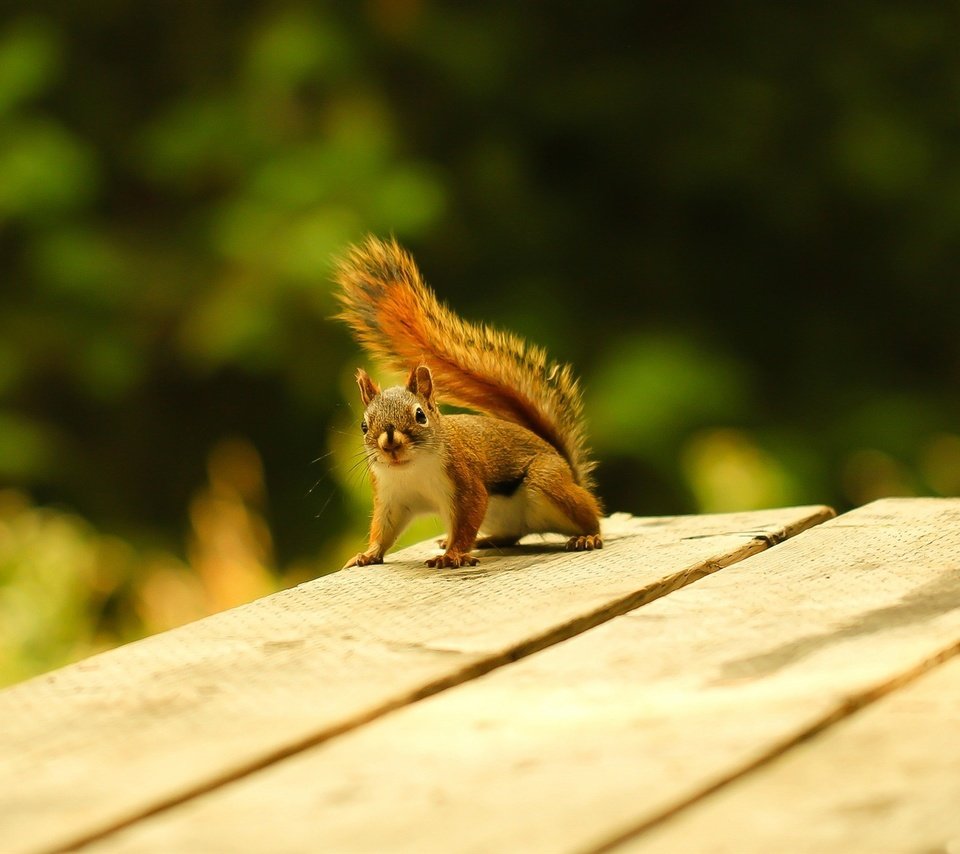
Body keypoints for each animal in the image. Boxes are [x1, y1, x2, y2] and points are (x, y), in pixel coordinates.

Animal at [332, 236, 600, 568]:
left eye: (420, 415)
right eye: (364, 425)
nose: (389, 443)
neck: (411, 469)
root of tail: (569, 471)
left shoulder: (465, 482)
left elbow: (467, 517)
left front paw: (453, 554)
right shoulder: (391, 498)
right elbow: (383, 530)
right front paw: (367, 555)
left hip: (549, 482)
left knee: (592, 515)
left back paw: (588, 536)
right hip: (503, 516)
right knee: (513, 534)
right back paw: (486, 541)